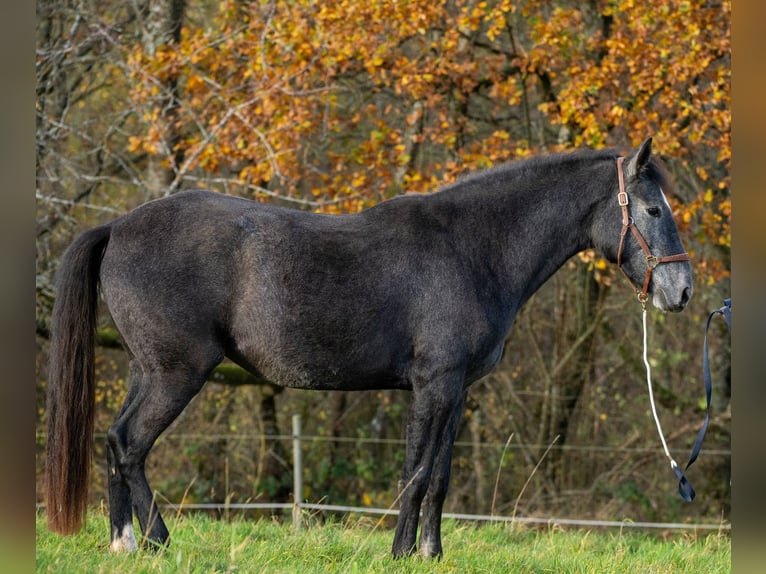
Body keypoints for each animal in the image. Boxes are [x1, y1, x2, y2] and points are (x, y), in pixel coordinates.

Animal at [45, 137, 692, 558]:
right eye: (653, 209)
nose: (682, 290)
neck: (472, 247)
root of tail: (118, 227)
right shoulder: (433, 384)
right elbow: (417, 472)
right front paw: (402, 554)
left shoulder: (455, 392)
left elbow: (439, 477)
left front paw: (431, 553)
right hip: (176, 374)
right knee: (130, 444)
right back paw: (153, 541)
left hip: (146, 370)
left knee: (115, 442)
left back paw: (124, 542)